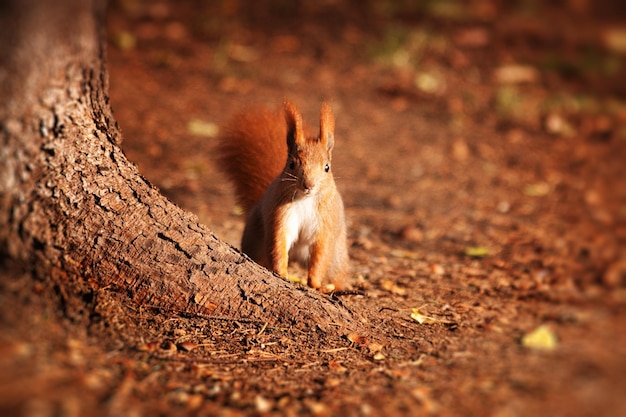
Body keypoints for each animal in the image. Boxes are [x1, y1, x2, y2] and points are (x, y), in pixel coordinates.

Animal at [216, 98, 348, 288]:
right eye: (291, 164)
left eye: (327, 167)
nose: (308, 185)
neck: (305, 200)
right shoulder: (280, 215)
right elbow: (279, 242)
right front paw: (282, 273)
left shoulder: (326, 222)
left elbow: (321, 253)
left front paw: (315, 283)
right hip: (255, 242)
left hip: (337, 259)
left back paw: (329, 287)